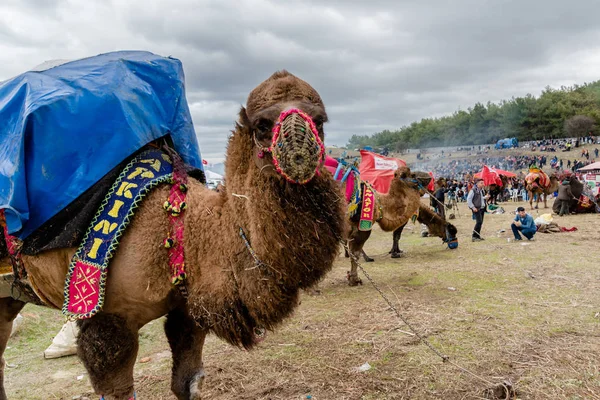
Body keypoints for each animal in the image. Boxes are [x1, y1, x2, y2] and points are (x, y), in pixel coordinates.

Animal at [0, 72, 346, 400]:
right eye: (261, 124)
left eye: (319, 121)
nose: (300, 154)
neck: (182, 231)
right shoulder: (106, 319)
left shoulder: (186, 309)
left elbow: (187, 383)